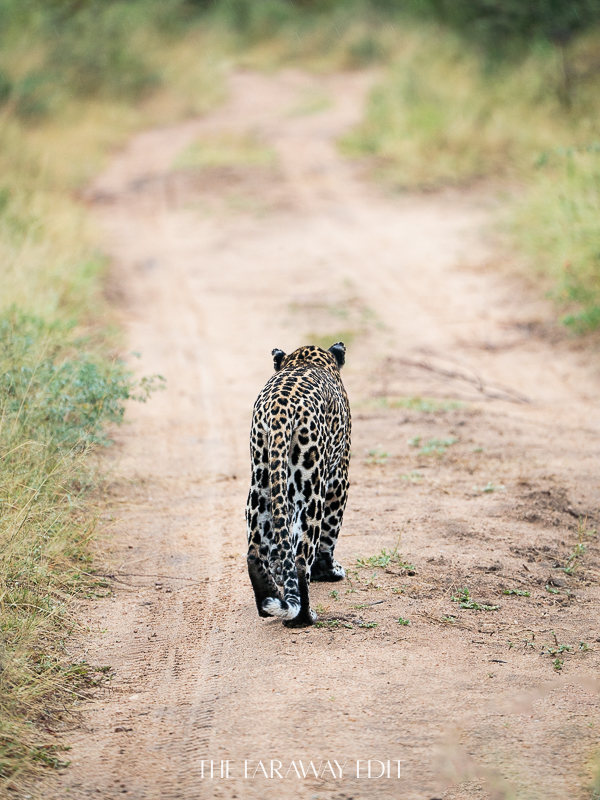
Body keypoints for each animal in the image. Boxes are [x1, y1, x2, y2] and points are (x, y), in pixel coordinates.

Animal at [246, 342, 351, 628]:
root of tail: (280, 410)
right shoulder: (339, 477)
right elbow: (329, 534)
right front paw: (330, 571)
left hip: (261, 481)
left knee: (254, 551)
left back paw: (268, 602)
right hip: (312, 485)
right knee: (302, 557)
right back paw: (304, 616)